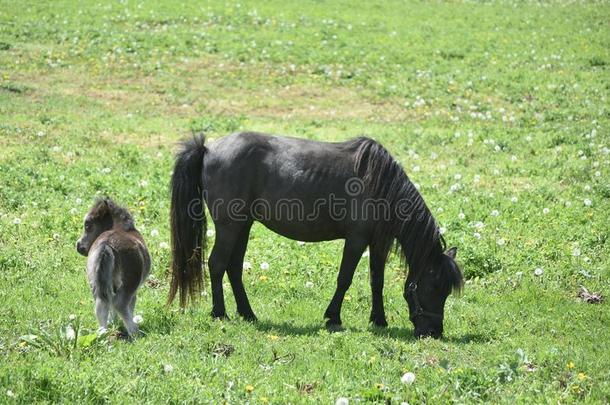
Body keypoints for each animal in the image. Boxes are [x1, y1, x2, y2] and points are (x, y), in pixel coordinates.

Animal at [167, 132, 460, 338]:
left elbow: (377, 281)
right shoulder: (356, 240)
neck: (379, 184)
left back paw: (248, 314)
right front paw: (333, 317)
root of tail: (208, 149)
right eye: (433, 287)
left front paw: (379, 319)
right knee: (217, 265)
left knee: (234, 268)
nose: (434, 332)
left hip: (243, 226)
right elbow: (344, 279)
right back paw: (220, 314)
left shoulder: (378, 242)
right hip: (230, 227)